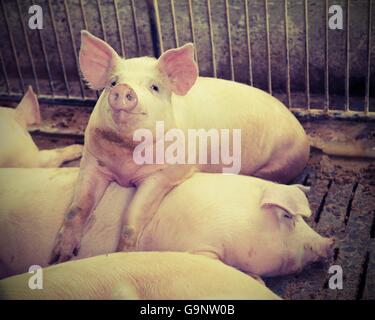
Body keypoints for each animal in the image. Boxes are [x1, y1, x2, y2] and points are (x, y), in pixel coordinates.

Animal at [51, 28, 310, 262]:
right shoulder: (91, 160)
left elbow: (132, 218)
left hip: (277, 164)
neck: (126, 159)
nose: (124, 89)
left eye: (154, 87)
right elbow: (76, 209)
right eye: (112, 83)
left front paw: (122, 254)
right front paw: (60, 256)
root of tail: (303, 138)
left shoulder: (167, 174)